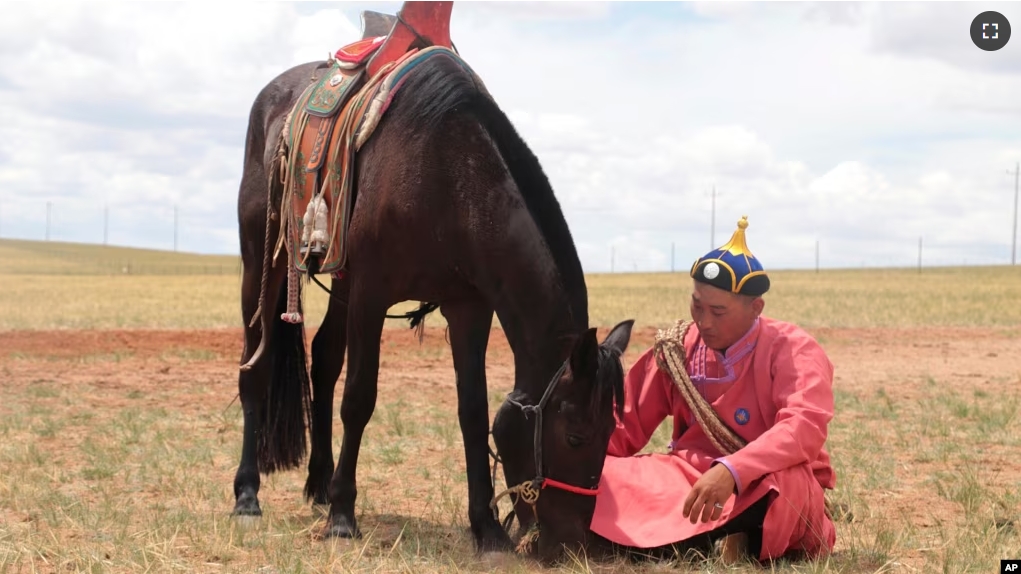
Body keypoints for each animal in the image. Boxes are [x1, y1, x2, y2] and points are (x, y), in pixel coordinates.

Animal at [229, 15, 628, 551]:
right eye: (576, 437)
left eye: (609, 437)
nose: (572, 544)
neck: (449, 175)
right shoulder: (372, 294)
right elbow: (360, 398)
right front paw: (342, 516)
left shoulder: (468, 306)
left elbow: (473, 411)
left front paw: (486, 528)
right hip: (264, 261)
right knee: (256, 367)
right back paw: (248, 495)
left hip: (341, 283)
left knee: (324, 359)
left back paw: (318, 482)